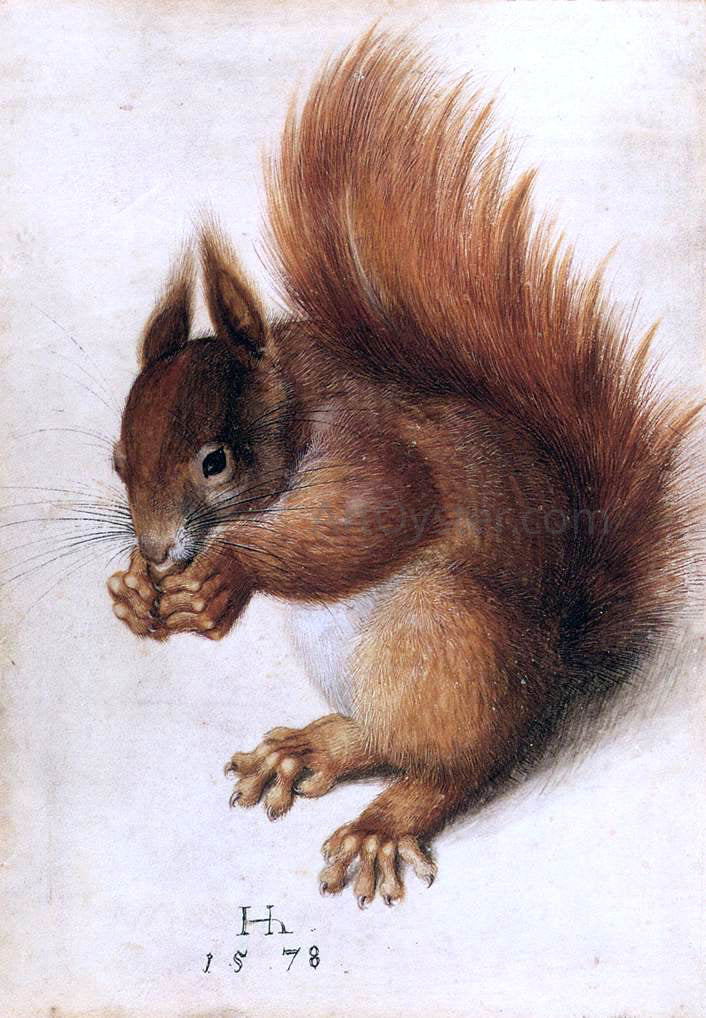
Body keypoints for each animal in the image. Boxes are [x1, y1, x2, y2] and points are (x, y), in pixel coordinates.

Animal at [106, 31, 701, 907]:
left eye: (216, 462)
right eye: (118, 461)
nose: (155, 551)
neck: (300, 414)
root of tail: (554, 669)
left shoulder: (379, 455)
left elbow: (369, 519)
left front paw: (226, 575)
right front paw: (132, 594)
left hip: (450, 645)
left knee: (456, 765)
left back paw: (384, 824)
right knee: (382, 738)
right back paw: (305, 750)